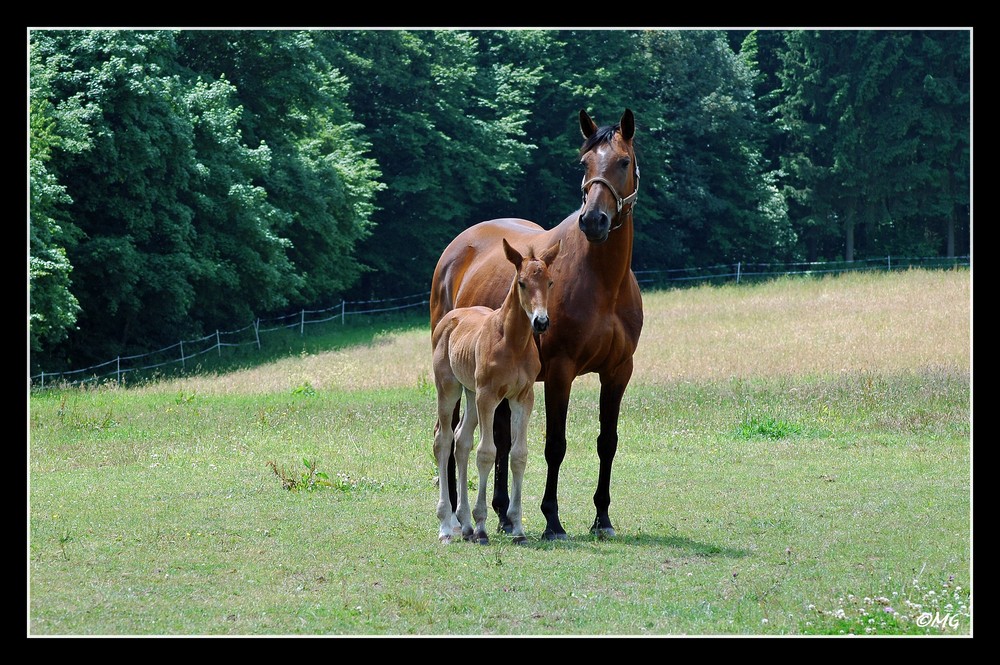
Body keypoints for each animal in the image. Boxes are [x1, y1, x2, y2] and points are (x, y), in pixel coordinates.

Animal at [432, 236, 564, 544]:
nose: (541, 322)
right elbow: (487, 453)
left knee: (461, 440)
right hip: (449, 389)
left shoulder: (523, 397)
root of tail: (451, 316)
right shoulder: (488, 396)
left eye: (550, 282)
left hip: (470, 393)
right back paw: (447, 526)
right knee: (444, 440)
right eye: (522, 283)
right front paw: (482, 527)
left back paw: (465, 524)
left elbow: (518, 455)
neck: (512, 342)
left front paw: (517, 528)